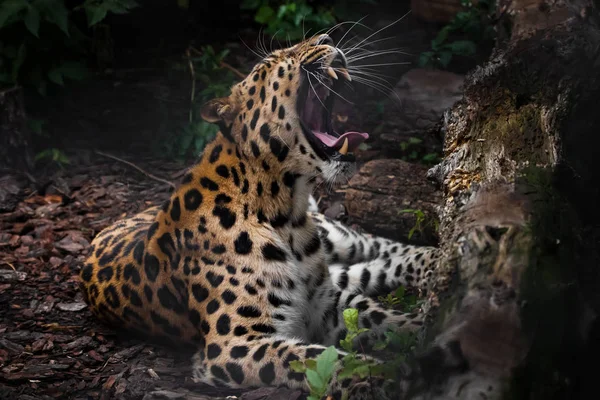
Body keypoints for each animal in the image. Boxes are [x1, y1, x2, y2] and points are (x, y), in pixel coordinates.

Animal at [79, 35, 440, 400]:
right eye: (275, 60)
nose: (326, 39)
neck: (284, 211)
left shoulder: (326, 302)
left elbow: (381, 318)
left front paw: (423, 330)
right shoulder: (233, 345)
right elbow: (312, 357)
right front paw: (382, 376)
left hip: (334, 239)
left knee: (377, 248)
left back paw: (434, 261)